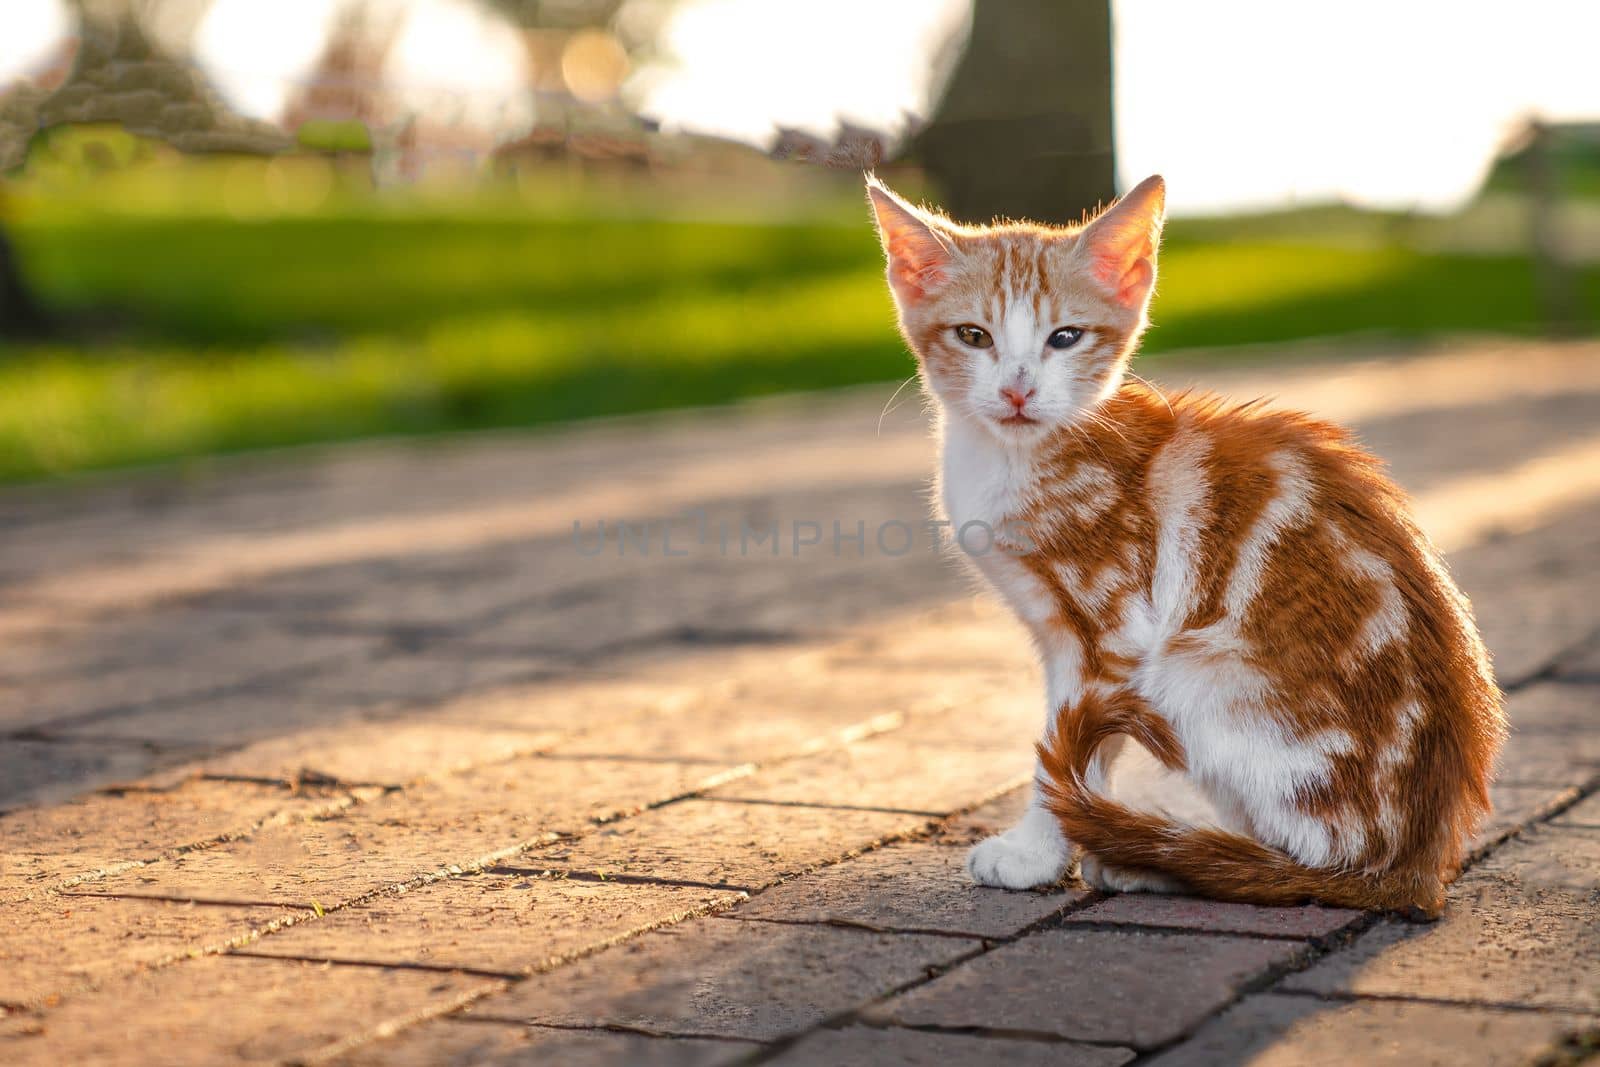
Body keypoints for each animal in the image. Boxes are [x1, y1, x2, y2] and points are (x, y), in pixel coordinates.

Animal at [870, 175, 1504, 921]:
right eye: (974, 336)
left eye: (1065, 337)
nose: (1018, 390)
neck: (1017, 457)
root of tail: (1418, 866)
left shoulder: (1114, 629)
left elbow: (1066, 748)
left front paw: (1035, 851)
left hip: (1197, 670)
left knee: (1304, 864)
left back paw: (1173, 857)